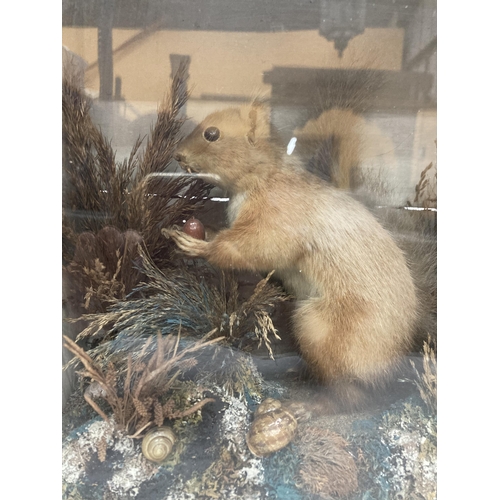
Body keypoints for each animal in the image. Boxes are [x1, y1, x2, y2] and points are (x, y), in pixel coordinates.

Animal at [163, 100, 426, 406]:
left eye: (212, 134)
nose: (177, 155)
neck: (266, 175)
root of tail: (389, 369)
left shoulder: (277, 217)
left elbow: (256, 246)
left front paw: (199, 246)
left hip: (317, 327)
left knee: (351, 396)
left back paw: (310, 404)